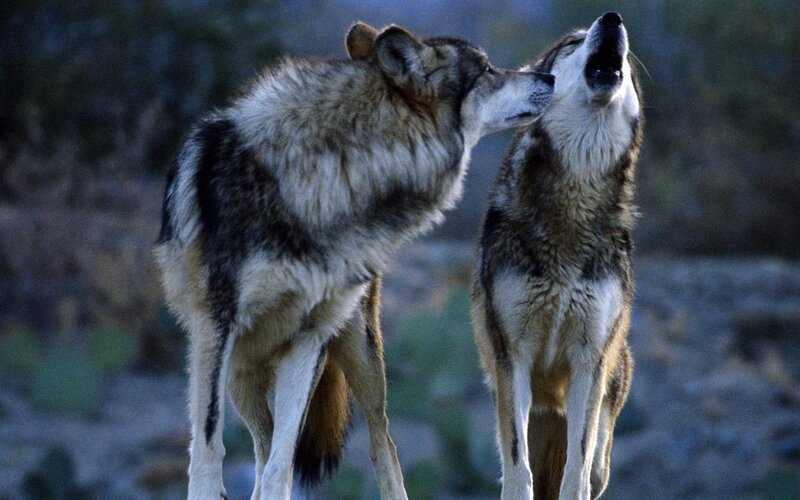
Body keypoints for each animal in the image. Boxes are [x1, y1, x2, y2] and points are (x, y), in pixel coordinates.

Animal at [154, 20, 554, 500]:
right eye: (489, 71)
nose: (549, 76)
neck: (336, 173)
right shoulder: (216, 328)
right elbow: (211, 446)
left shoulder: (308, 337)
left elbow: (282, 465)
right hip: (239, 371)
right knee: (260, 446)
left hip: (360, 358)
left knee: (380, 446)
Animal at [471, 12, 642, 500]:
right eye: (572, 43)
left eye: (628, 57)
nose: (612, 18)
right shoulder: (513, 357)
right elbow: (517, 466)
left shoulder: (590, 359)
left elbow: (577, 465)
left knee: (593, 467)